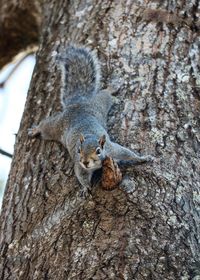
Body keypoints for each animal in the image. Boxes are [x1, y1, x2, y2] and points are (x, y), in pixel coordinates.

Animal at [28, 44, 153, 191]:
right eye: (79, 150)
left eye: (98, 151)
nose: (86, 162)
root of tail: (77, 104)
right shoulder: (79, 165)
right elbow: (81, 175)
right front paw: (86, 188)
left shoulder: (112, 150)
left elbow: (127, 153)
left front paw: (143, 158)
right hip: (57, 126)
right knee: (46, 126)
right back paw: (35, 129)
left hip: (99, 104)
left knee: (105, 94)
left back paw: (112, 88)